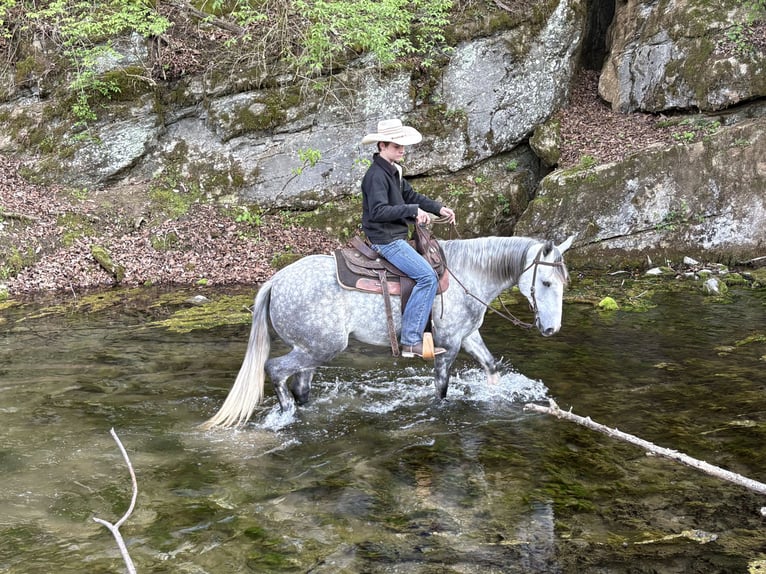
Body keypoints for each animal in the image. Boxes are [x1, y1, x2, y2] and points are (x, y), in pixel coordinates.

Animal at [201, 235, 573, 429]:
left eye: (563, 282)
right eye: (545, 282)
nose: (551, 329)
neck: (468, 274)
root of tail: (276, 281)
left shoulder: (467, 336)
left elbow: (491, 366)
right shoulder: (449, 344)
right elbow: (441, 389)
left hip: (310, 350)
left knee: (300, 385)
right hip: (320, 347)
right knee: (275, 370)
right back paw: (286, 415)